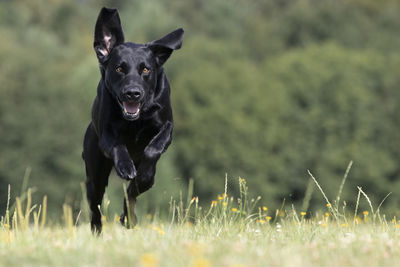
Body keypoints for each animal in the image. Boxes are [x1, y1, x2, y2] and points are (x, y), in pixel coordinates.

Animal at [84, 7, 184, 233]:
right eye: (119, 68)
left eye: (145, 69)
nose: (132, 93)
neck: (137, 119)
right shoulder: (106, 134)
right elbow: (118, 145)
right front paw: (125, 166)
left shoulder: (167, 127)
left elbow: (153, 149)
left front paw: (143, 174)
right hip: (95, 172)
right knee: (95, 207)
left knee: (133, 191)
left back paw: (129, 216)